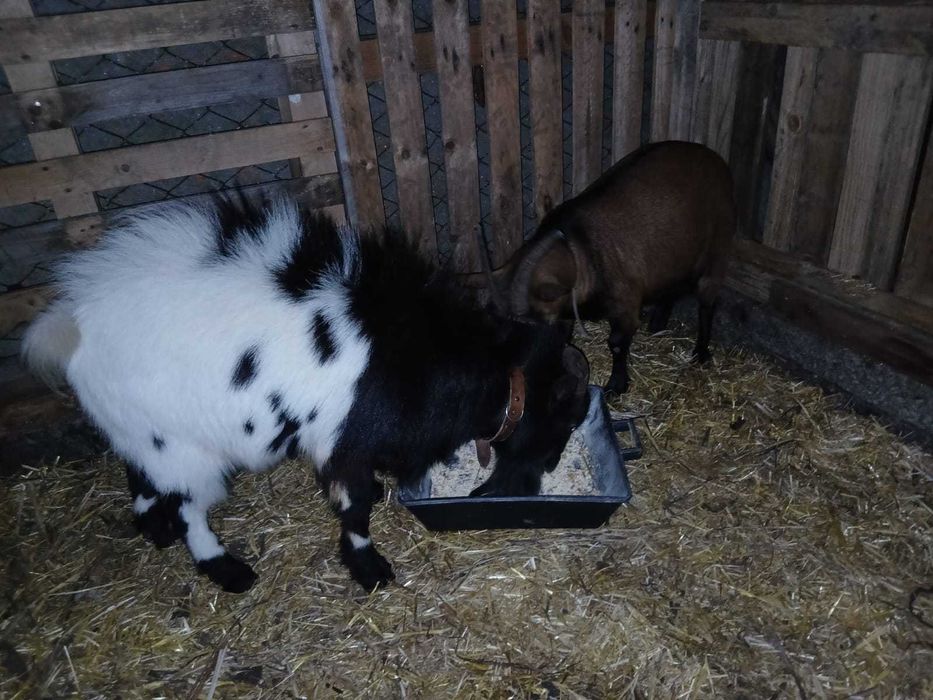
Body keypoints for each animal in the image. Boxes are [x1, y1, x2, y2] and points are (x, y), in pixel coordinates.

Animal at [22, 198, 591, 593]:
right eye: (562, 417)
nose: (541, 477)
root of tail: (72, 323)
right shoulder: (344, 442)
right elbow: (353, 508)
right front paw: (369, 568)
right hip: (180, 444)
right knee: (190, 507)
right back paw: (225, 569)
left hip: (143, 427)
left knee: (139, 470)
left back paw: (153, 527)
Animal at [473, 141, 735, 395]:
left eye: (536, 325)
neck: (583, 249)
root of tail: (715, 159)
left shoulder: (625, 302)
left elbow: (617, 343)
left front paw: (616, 386)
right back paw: (658, 323)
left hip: (718, 245)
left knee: (707, 300)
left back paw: (701, 353)